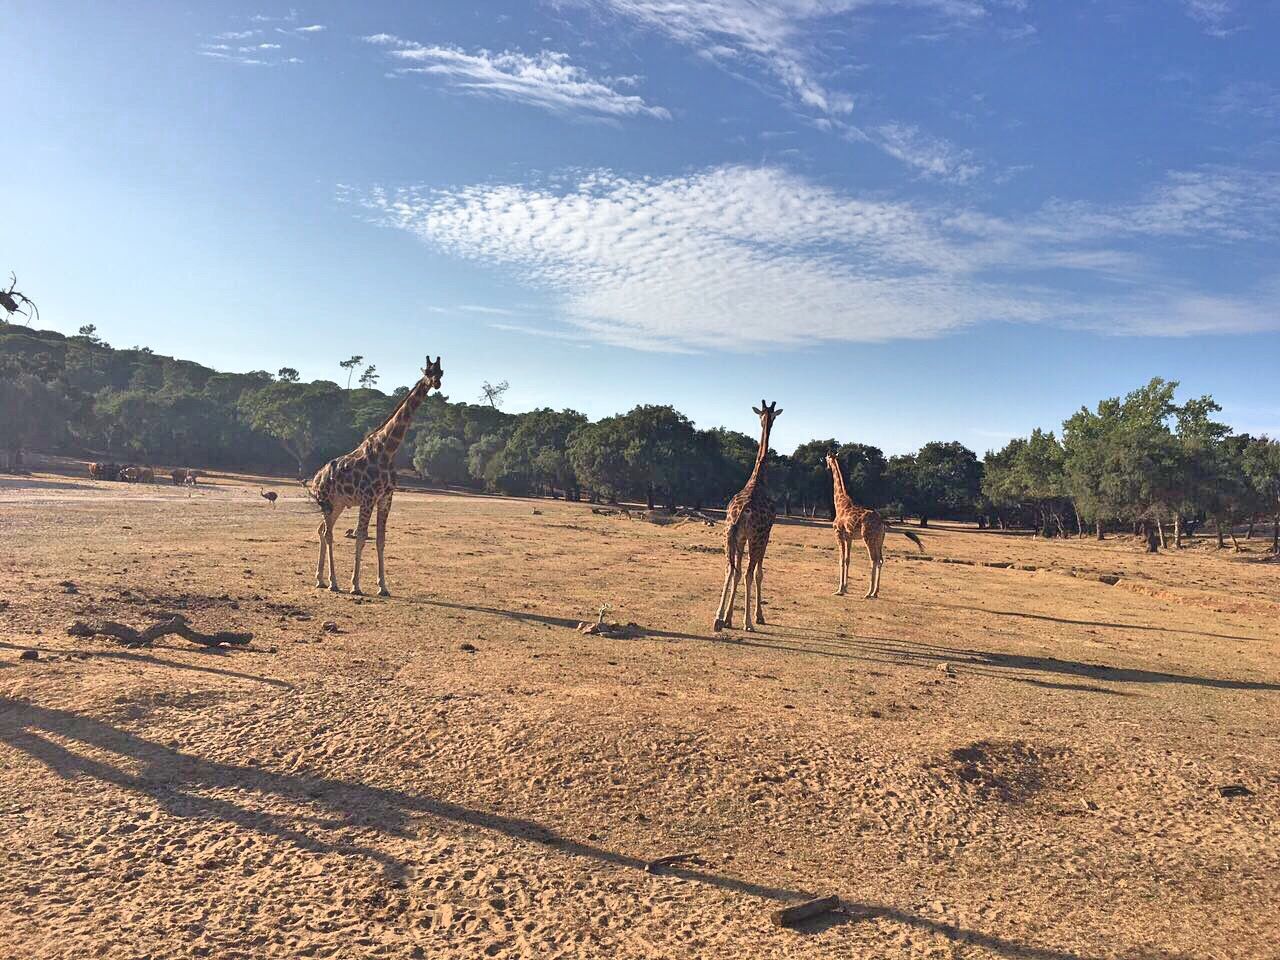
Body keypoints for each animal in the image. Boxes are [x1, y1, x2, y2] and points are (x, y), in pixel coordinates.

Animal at [309, 355, 445, 593]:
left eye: (441, 372)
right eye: (428, 372)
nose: (436, 383)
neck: (388, 450)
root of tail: (315, 479)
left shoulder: (385, 498)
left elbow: (381, 540)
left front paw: (383, 587)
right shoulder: (368, 498)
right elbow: (361, 537)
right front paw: (355, 585)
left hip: (337, 504)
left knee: (322, 530)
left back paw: (321, 579)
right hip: (326, 502)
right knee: (328, 534)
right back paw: (333, 582)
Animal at [711, 399, 778, 632]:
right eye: (769, 416)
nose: (767, 420)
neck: (758, 478)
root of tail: (740, 513)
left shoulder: (740, 538)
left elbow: (736, 572)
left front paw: (728, 617)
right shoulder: (765, 535)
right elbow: (758, 573)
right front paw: (758, 616)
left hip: (728, 535)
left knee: (729, 570)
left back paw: (717, 618)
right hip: (755, 538)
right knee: (748, 573)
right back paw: (748, 623)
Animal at [824, 453, 926, 601]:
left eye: (826, 458)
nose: (826, 466)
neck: (840, 504)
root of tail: (882, 522)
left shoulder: (838, 533)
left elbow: (841, 560)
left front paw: (839, 590)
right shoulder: (849, 537)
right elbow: (848, 559)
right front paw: (845, 588)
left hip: (868, 538)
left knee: (873, 560)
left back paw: (868, 592)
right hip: (879, 540)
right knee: (880, 560)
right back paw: (875, 592)